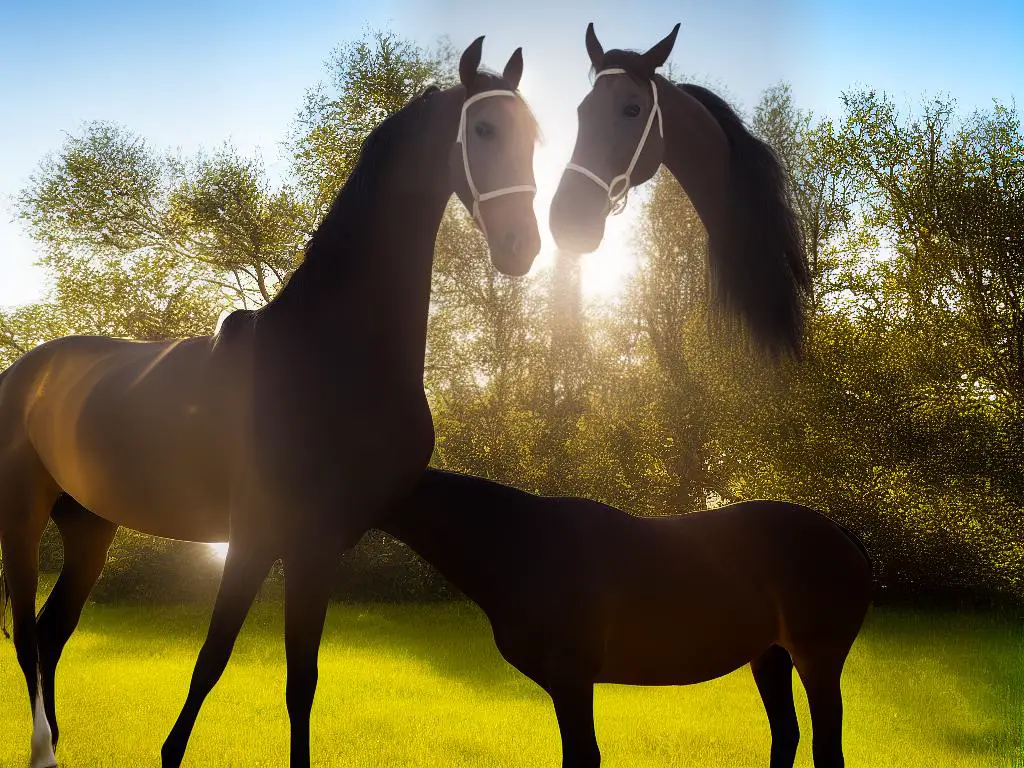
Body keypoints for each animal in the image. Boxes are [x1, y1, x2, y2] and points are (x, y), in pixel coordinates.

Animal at [0, 37, 544, 768]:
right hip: (22, 518)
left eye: (535, 136)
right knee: (28, 635)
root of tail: (25, 372)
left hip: (89, 525)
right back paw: (42, 747)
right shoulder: (259, 535)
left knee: (54, 630)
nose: (522, 247)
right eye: (483, 129)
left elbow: (301, 680)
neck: (327, 350)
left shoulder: (320, 544)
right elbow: (212, 660)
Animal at [380, 468, 876, 768]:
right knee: (787, 734)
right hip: (770, 657)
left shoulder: (572, 678)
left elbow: (583, 756)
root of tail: (841, 534)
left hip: (816, 659)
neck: (522, 545)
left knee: (826, 747)